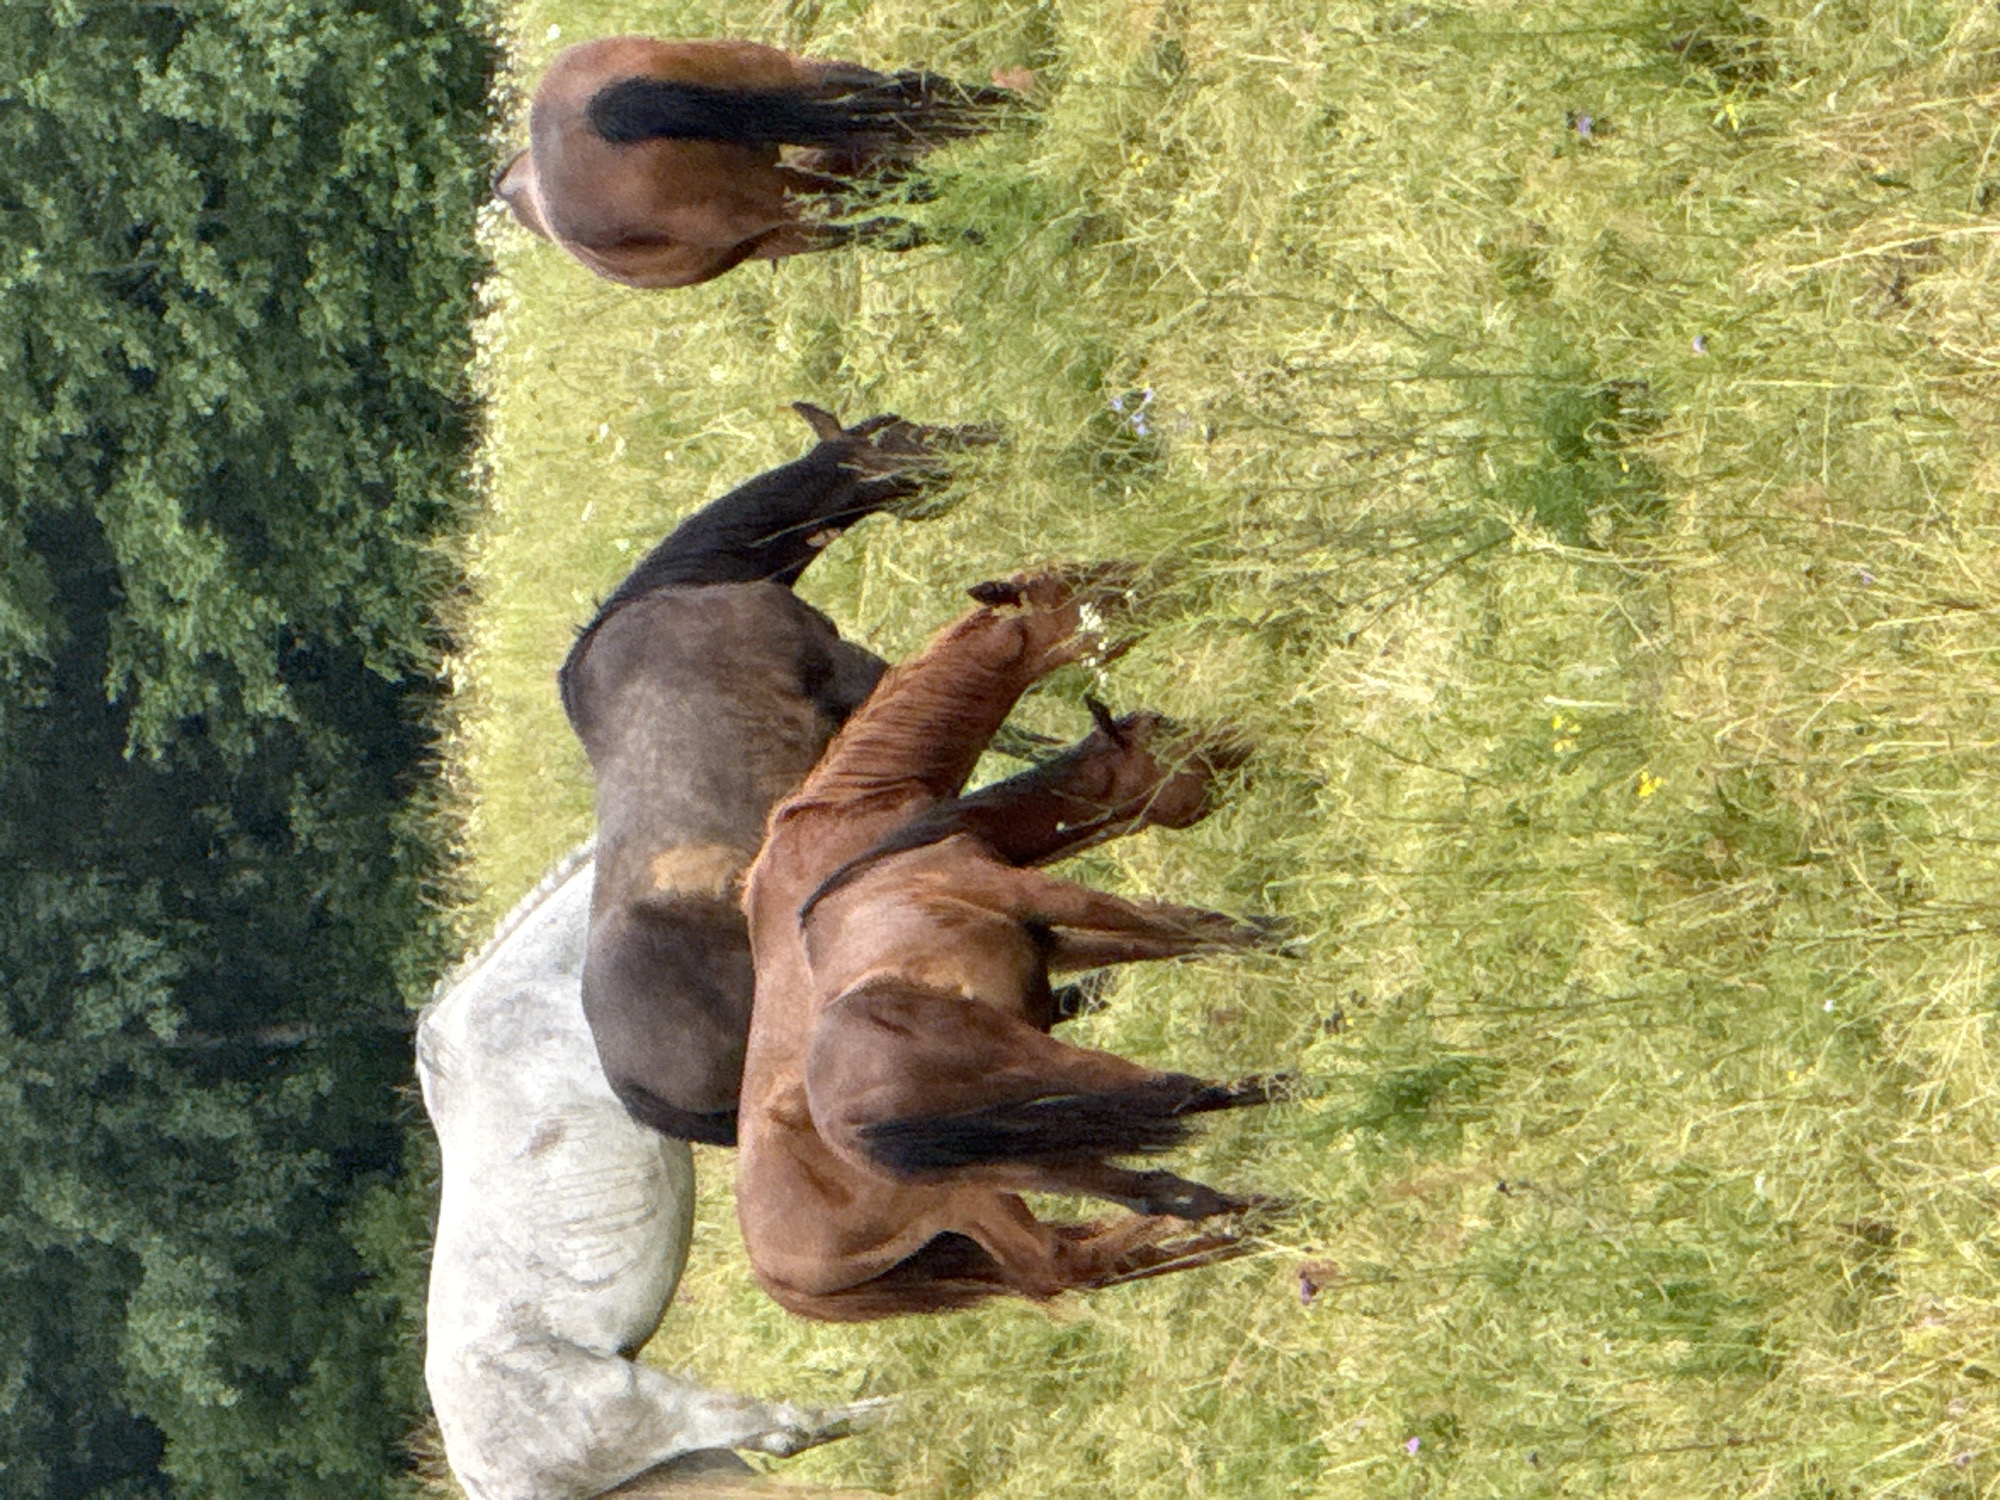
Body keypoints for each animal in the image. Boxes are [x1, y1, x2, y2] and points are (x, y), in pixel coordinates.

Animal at [494, 37, 1022, 288]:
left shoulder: (785, 229)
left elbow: (891, 229)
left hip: (780, 198)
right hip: (792, 74)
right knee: (905, 87)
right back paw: (1017, 115)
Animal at [736, 568, 1286, 1322]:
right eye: (1087, 588)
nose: (1167, 575)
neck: (863, 823)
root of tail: (779, 1278)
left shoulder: (1048, 941)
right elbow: (1187, 929)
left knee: (1090, 1246)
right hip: (977, 1192)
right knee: (1084, 1239)